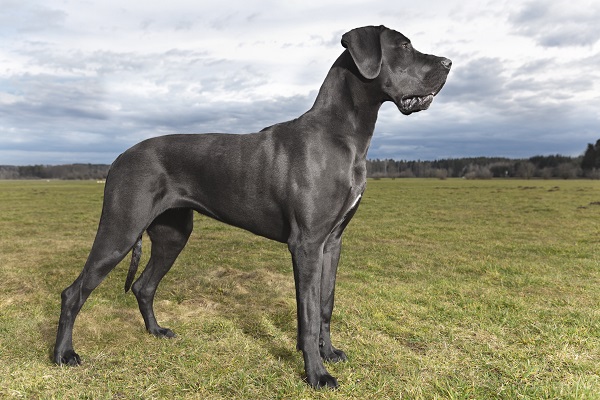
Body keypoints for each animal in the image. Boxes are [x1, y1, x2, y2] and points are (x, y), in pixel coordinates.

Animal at [55, 25, 450, 388]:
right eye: (403, 46)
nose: (449, 63)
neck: (342, 134)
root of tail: (117, 159)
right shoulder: (306, 244)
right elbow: (307, 313)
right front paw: (316, 374)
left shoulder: (332, 241)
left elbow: (325, 303)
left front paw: (329, 353)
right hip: (120, 229)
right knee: (74, 292)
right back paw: (63, 355)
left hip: (173, 235)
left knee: (143, 286)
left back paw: (156, 332)